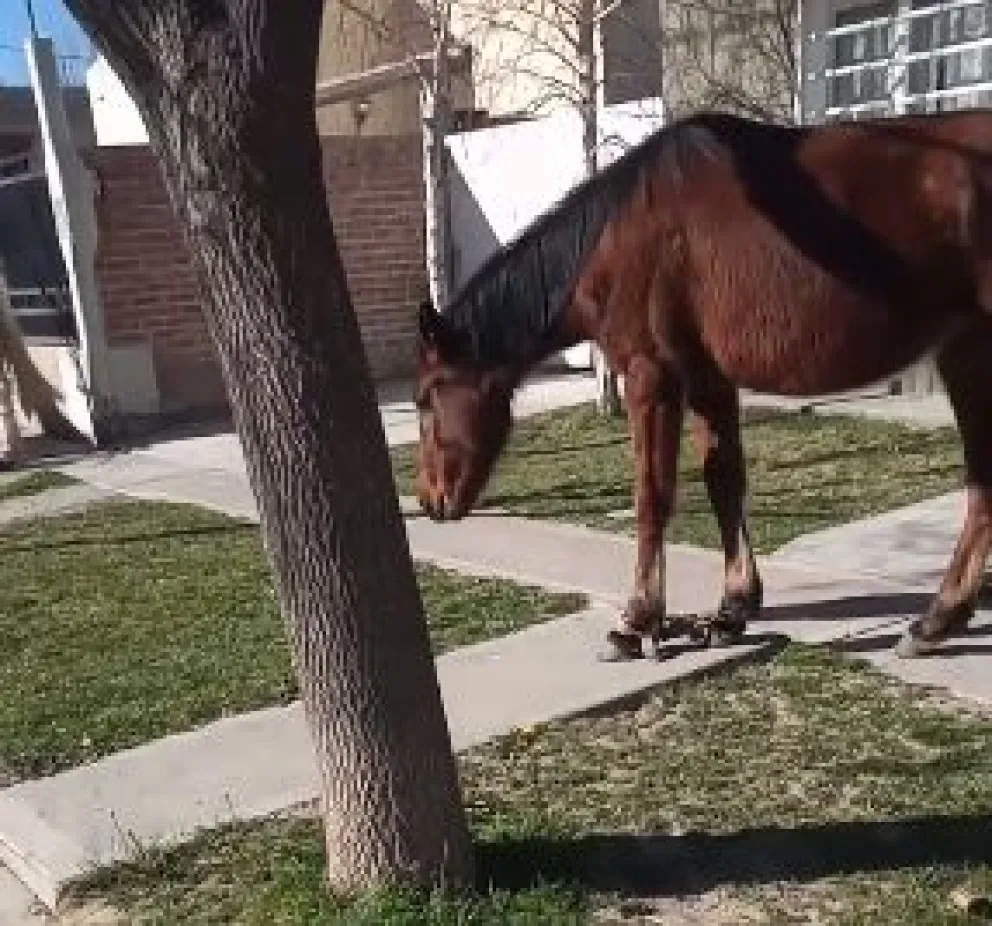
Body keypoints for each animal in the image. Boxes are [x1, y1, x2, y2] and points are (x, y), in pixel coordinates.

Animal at [414, 108, 992, 662]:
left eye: (425, 399)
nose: (429, 501)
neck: (614, 240)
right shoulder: (708, 379)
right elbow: (724, 480)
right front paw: (732, 609)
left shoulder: (651, 378)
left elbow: (653, 494)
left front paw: (638, 622)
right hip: (965, 352)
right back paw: (941, 618)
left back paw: (937, 619)